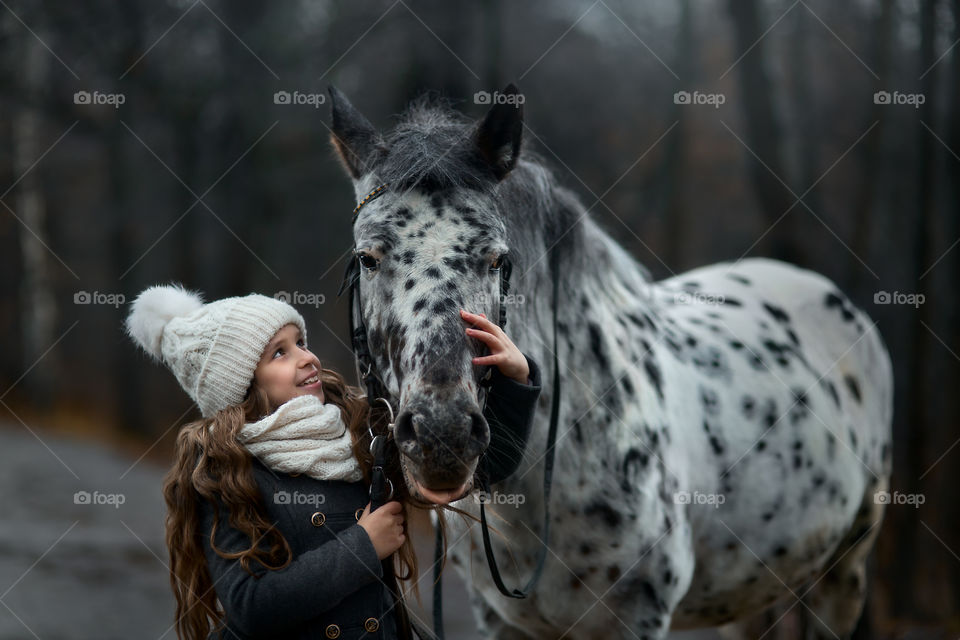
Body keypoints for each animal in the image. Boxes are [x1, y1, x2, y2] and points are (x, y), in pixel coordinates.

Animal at [328, 86, 892, 640]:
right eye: (367, 258)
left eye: (497, 259)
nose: (442, 435)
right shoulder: (497, 621)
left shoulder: (639, 617)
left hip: (845, 570)